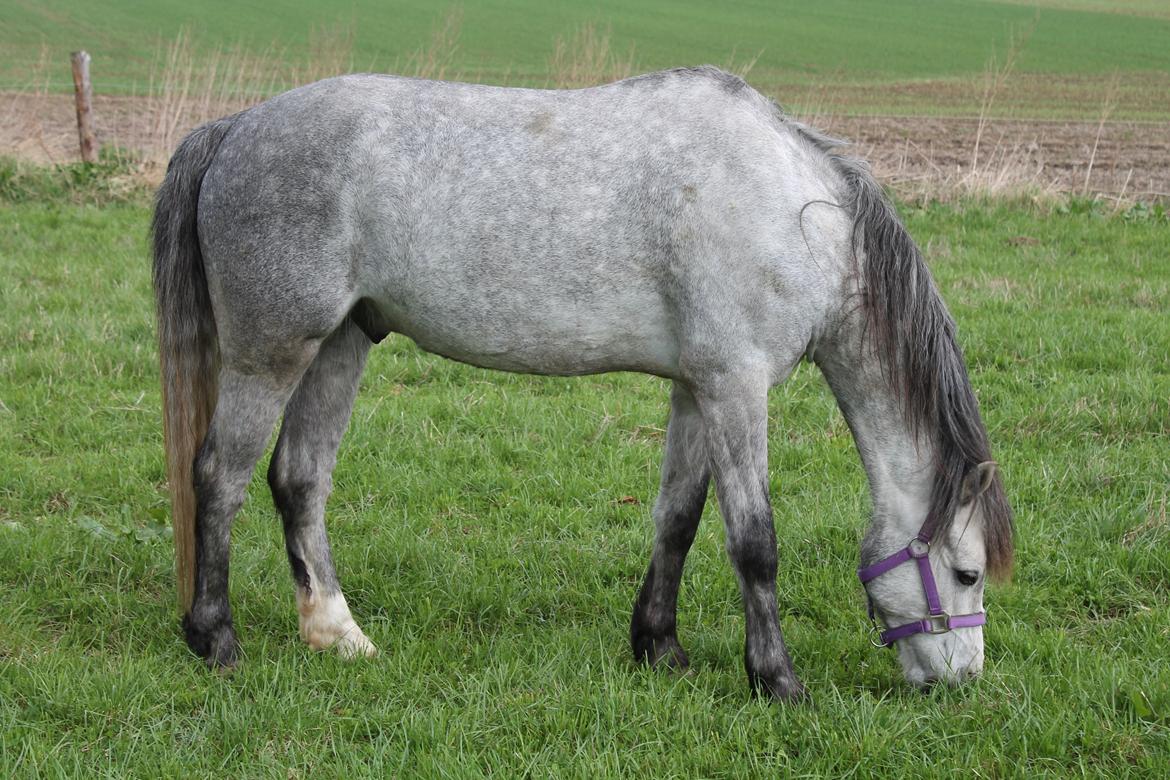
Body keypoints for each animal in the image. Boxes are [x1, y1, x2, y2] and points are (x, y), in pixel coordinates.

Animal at [153, 68, 1015, 701]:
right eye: (967, 573)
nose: (961, 682)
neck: (791, 209)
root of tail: (234, 128)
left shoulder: (696, 387)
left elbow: (678, 520)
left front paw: (659, 646)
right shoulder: (737, 385)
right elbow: (754, 542)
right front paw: (777, 680)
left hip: (339, 343)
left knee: (299, 482)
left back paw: (339, 635)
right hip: (271, 354)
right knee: (219, 478)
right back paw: (215, 638)